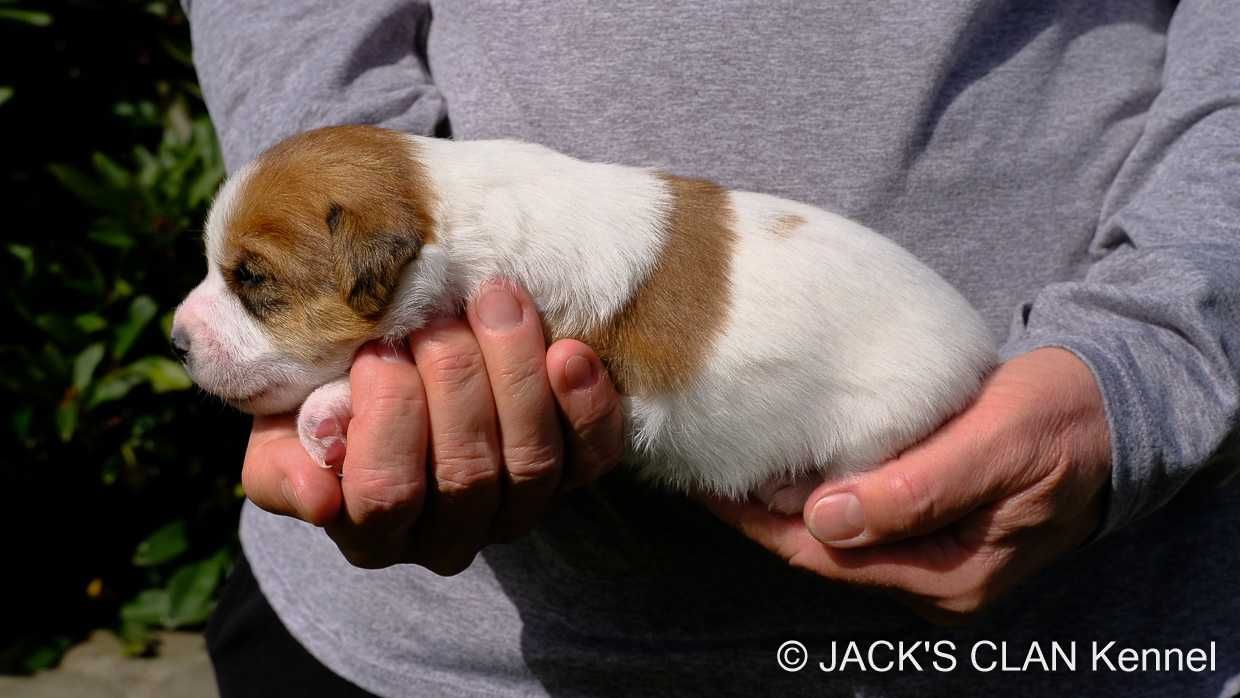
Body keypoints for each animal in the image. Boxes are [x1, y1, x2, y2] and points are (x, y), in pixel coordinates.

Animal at [169, 123, 992, 513]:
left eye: (252, 281)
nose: (173, 341)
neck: (451, 213)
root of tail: (983, 351)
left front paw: (326, 410)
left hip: (879, 416)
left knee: (859, 459)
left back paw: (798, 490)